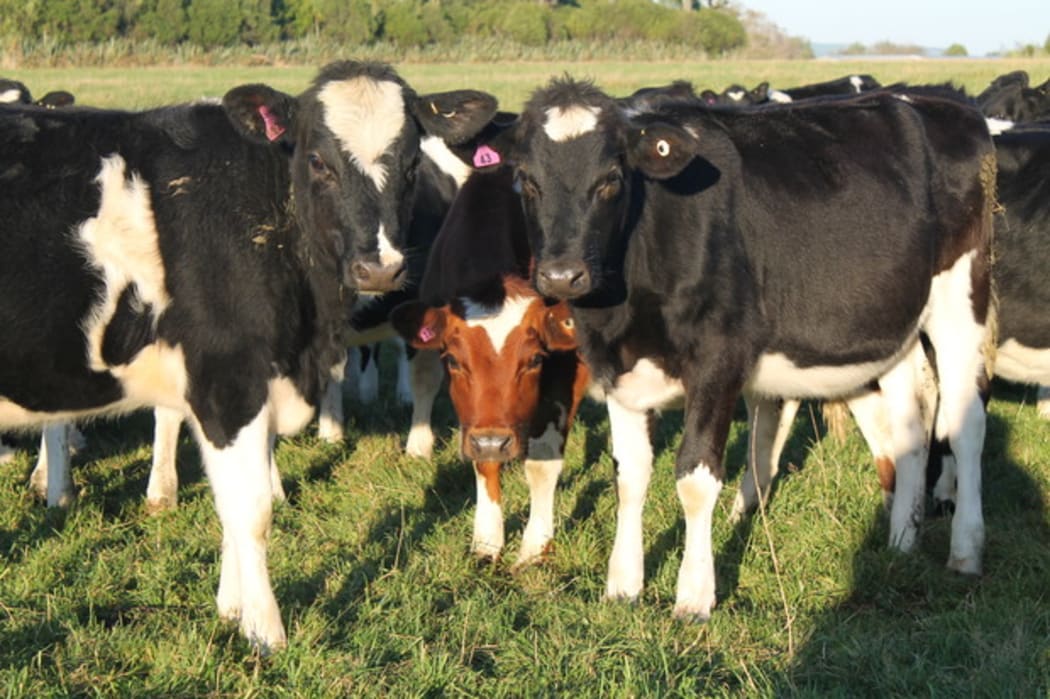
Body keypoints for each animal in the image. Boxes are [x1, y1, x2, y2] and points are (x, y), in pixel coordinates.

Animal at [0, 60, 498, 650]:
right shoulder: (228, 382)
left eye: (412, 162)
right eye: (317, 159)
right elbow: (249, 508)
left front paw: (231, 609)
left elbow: (229, 503)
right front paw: (265, 631)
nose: (379, 269)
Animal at [391, 165, 590, 565]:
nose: (494, 442)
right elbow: (482, 463)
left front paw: (535, 545)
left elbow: (543, 463)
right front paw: (487, 538)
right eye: (453, 360)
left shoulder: (567, 372)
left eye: (534, 360)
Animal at [501, 78, 995, 621]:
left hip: (960, 295)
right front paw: (623, 585)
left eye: (610, 178)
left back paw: (966, 550)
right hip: (895, 321)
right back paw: (902, 539)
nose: (561, 275)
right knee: (912, 416)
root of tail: (944, 106)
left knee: (967, 422)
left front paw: (694, 597)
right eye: (526, 180)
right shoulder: (617, 368)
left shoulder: (718, 360)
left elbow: (695, 479)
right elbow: (629, 474)